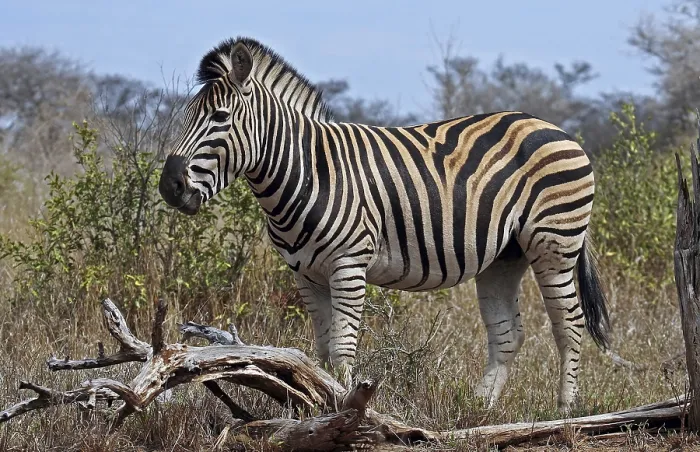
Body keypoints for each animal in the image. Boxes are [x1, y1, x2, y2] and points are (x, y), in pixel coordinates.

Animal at [158, 37, 610, 412]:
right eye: (187, 115)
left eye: (220, 117)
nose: (169, 186)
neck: (307, 172)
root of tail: (554, 127)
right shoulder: (305, 274)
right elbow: (321, 350)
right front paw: (316, 402)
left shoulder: (348, 265)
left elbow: (342, 348)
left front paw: (342, 406)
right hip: (505, 255)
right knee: (507, 333)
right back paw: (479, 407)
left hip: (553, 244)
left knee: (569, 324)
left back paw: (564, 409)